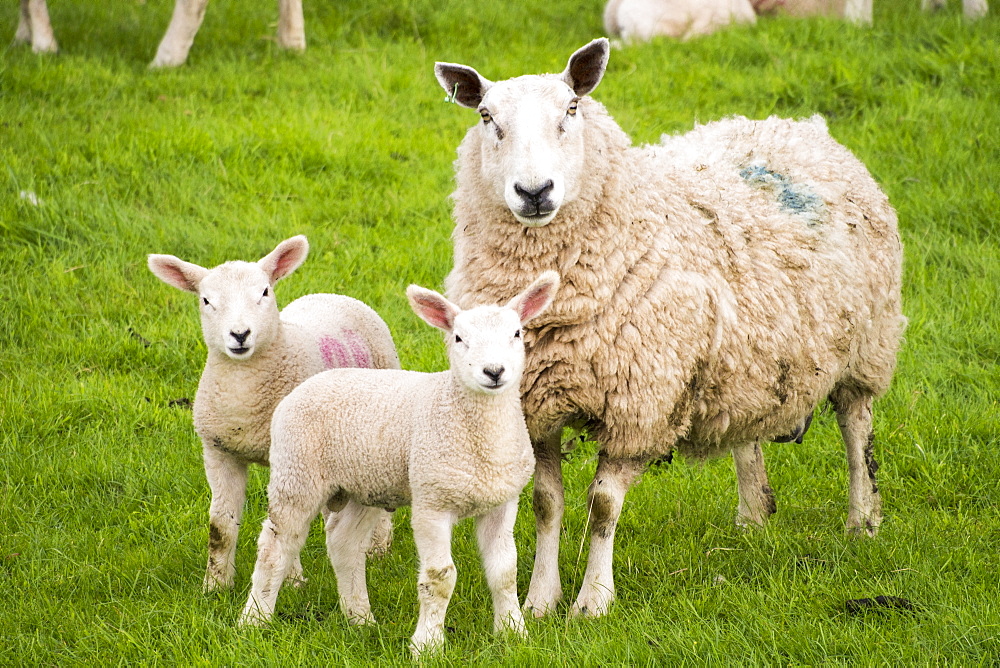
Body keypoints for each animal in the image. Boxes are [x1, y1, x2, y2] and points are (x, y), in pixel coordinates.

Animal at [148, 237, 398, 592]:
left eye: (264, 292)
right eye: (206, 300)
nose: (240, 334)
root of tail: (334, 295)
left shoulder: (290, 461)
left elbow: (283, 529)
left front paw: (292, 580)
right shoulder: (218, 453)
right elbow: (220, 526)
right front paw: (215, 586)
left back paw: (378, 546)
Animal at [236, 272, 564, 656]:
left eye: (516, 333)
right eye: (458, 338)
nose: (494, 371)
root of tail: (310, 383)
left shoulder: (501, 500)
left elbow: (504, 572)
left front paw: (513, 632)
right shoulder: (432, 502)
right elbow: (440, 577)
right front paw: (428, 645)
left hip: (365, 484)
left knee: (344, 543)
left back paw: (360, 618)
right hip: (296, 472)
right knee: (276, 547)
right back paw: (254, 619)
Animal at [436, 39, 908, 620]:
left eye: (571, 109)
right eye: (486, 117)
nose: (534, 190)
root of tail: (800, 126)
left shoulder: (642, 404)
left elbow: (602, 507)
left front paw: (592, 602)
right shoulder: (535, 406)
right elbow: (547, 505)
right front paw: (542, 600)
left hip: (867, 345)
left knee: (856, 427)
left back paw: (862, 521)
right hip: (744, 359)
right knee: (746, 432)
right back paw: (753, 517)